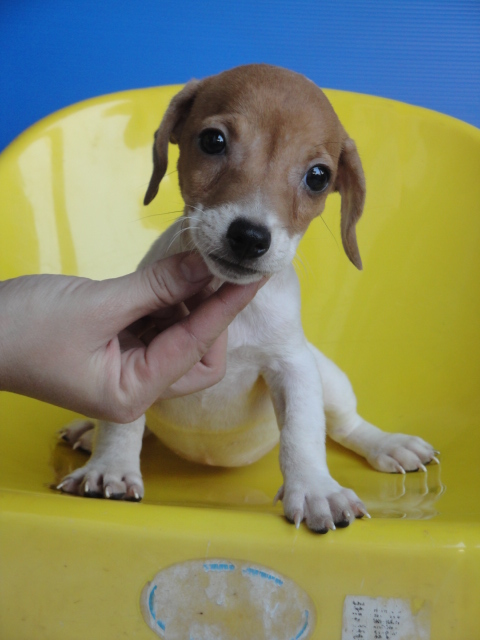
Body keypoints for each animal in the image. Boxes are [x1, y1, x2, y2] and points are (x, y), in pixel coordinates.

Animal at [57, 64, 437, 532]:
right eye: (213, 141)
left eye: (318, 177)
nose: (250, 237)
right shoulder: (133, 347)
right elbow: (123, 421)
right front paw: (109, 466)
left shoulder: (294, 367)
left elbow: (302, 435)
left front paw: (315, 489)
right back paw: (89, 431)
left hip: (327, 376)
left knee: (344, 425)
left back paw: (387, 443)